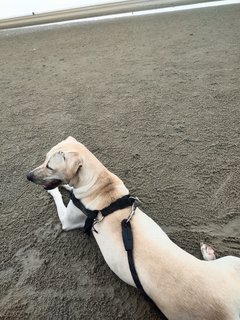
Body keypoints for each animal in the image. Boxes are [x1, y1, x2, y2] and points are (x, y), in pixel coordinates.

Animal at [26, 136, 240, 318]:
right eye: (44, 159)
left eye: (49, 166)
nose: (28, 176)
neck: (100, 183)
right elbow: (69, 187)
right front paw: (66, 186)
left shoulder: (68, 220)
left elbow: (60, 197)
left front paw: (55, 190)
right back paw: (208, 252)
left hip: (229, 264)